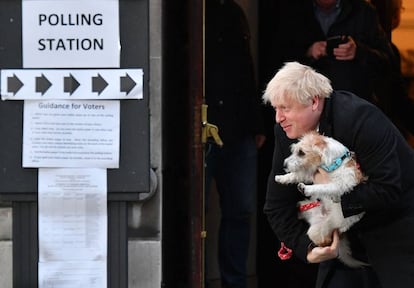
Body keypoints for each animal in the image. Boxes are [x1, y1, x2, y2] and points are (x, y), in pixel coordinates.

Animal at [274, 130, 368, 268]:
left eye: (301, 153)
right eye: (294, 150)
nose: (284, 164)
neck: (334, 163)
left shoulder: (341, 184)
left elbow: (324, 187)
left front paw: (307, 189)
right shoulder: (310, 172)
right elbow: (296, 175)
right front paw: (281, 178)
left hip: (317, 231)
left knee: (324, 242)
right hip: (304, 206)